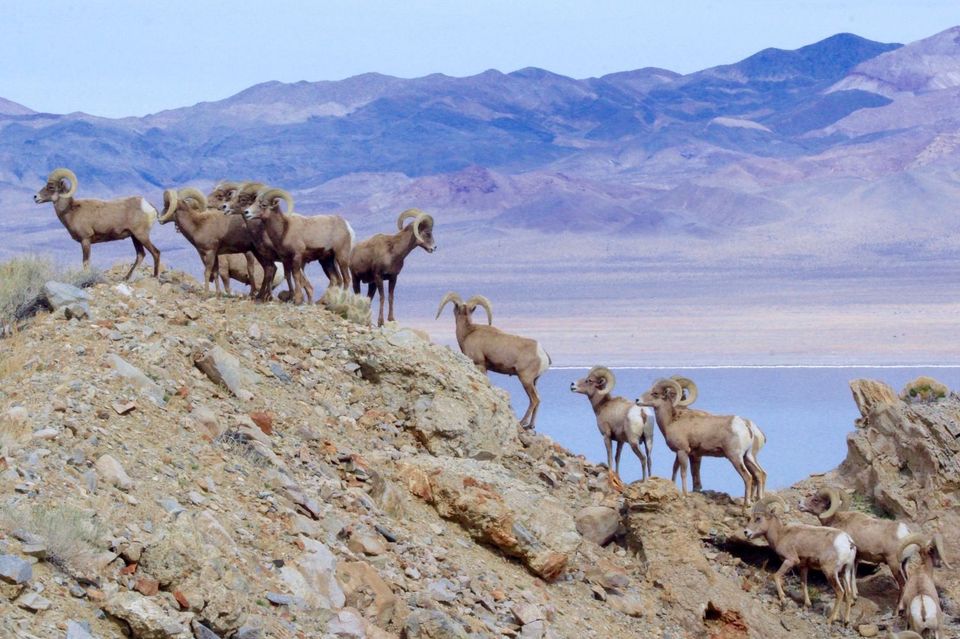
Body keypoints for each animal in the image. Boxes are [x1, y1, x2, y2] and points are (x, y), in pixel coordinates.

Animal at [436, 292, 550, 429]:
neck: (468, 332)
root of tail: (542, 353)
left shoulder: (480, 365)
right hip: (533, 381)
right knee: (537, 400)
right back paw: (531, 426)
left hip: (525, 380)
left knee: (534, 400)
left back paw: (522, 423)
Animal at [635, 378, 766, 507]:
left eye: (655, 393)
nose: (637, 400)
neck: (671, 422)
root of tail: (745, 425)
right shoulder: (681, 453)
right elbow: (675, 470)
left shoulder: (683, 451)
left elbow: (684, 472)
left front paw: (685, 494)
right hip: (748, 457)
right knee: (759, 474)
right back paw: (758, 499)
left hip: (735, 457)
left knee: (748, 477)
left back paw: (747, 503)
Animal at [744, 495, 856, 624]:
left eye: (758, 518)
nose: (746, 532)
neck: (781, 535)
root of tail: (848, 541)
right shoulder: (803, 567)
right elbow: (804, 584)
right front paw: (807, 604)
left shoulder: (790, 560)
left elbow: (776, 576)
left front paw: (783, 598)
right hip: (845, 572)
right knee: (848, 593)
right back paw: (846, 621)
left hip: (830, 571)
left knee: (840, 592)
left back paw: (830, 620)